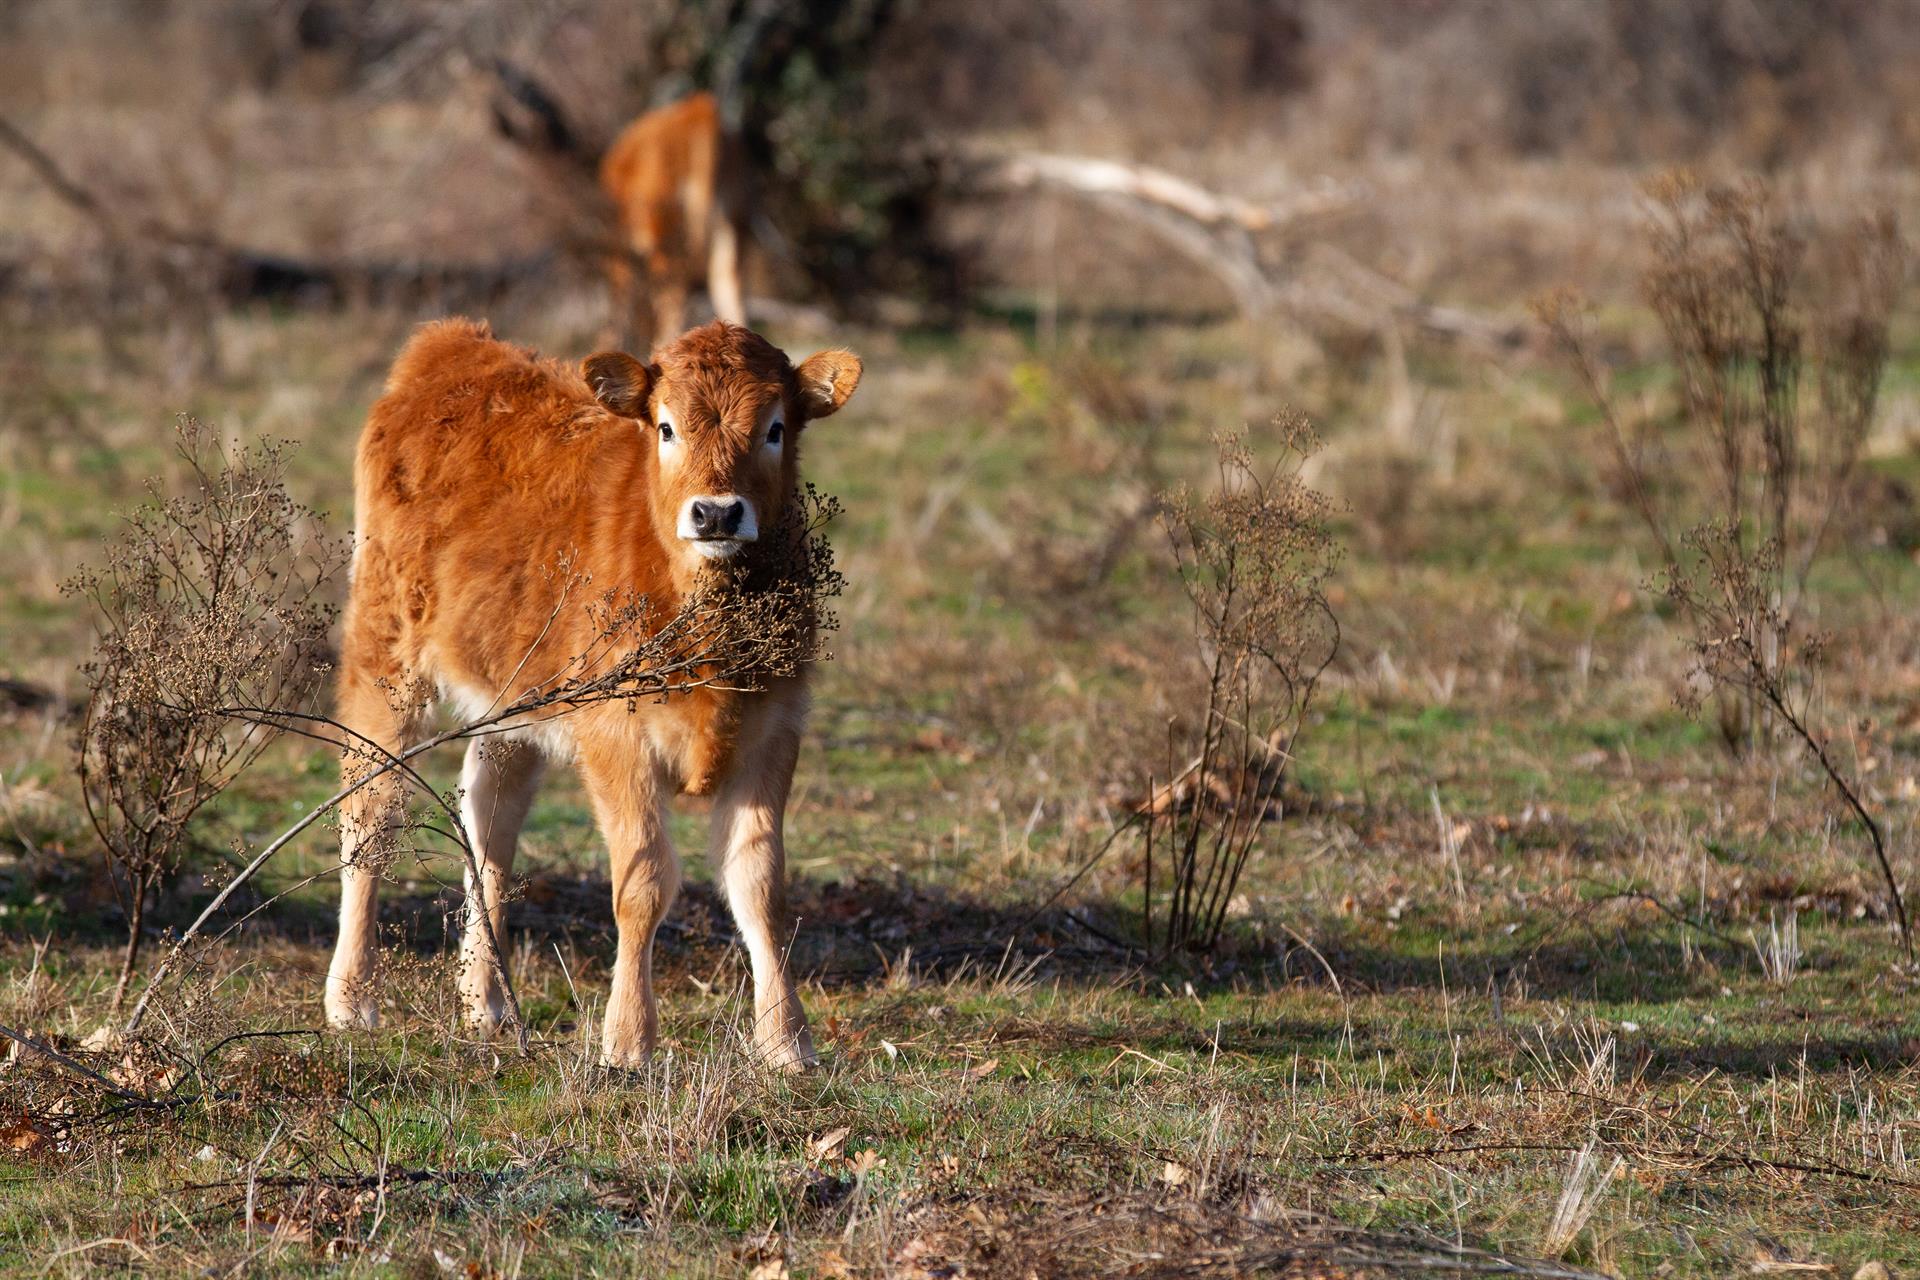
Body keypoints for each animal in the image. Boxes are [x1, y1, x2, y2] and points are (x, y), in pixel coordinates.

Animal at [326, 314, 860, 1066]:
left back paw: (486, 1002)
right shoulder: (616, 735)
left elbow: (760, 887)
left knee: (489, 830)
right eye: (665, 427)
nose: (716, 514)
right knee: (370, 813)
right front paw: (628, 1039)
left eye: (775, 428)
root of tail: (450, 345)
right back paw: (352, 999)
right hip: (386, 658)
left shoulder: (773, 732)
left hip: (508, 702)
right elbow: (644, 884)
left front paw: (787, 1042)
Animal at [599, 90, 748, 353]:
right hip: (732, 231)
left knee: (671, 304)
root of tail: (700, 111)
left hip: (667, 238)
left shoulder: (619, 244)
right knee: (731, 298)